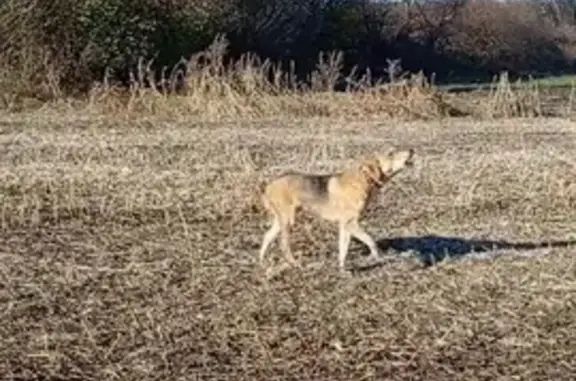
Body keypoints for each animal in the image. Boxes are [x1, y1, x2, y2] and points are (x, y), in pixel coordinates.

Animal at [256, 148, 414, 270]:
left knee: (266, 236)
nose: (411, 150)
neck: (364, 179)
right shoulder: (351, 223)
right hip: (288, 220)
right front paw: (375, 256)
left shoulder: (345, 226)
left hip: (280, 221)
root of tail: (268, 186)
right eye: (391, 153)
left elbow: (343, 250)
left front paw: (342, 269)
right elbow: (371, 241)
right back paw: (295, 264)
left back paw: (262, 262)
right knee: (283, 245)